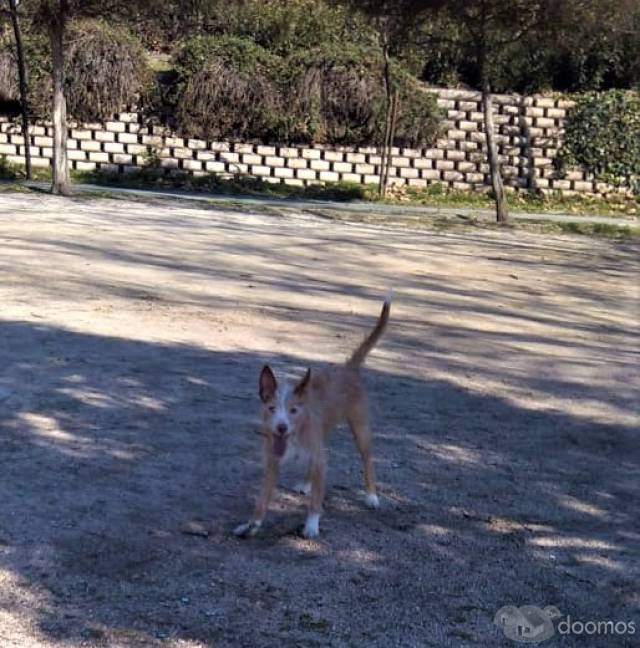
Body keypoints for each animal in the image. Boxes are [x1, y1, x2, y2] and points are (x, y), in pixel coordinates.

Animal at [232, 296, 388, 540]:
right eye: (271, 408)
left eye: (294, 410)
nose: (281, 427)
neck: (294, 436)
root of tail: (348, 368)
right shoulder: (272, 463)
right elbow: (262, 500)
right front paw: (252, 524)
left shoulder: (320, 459)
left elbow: (316, 501)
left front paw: (312, 525)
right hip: (323, 434)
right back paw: (306, 483)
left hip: (361, 429)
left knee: (368, 461)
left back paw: (371, 496)